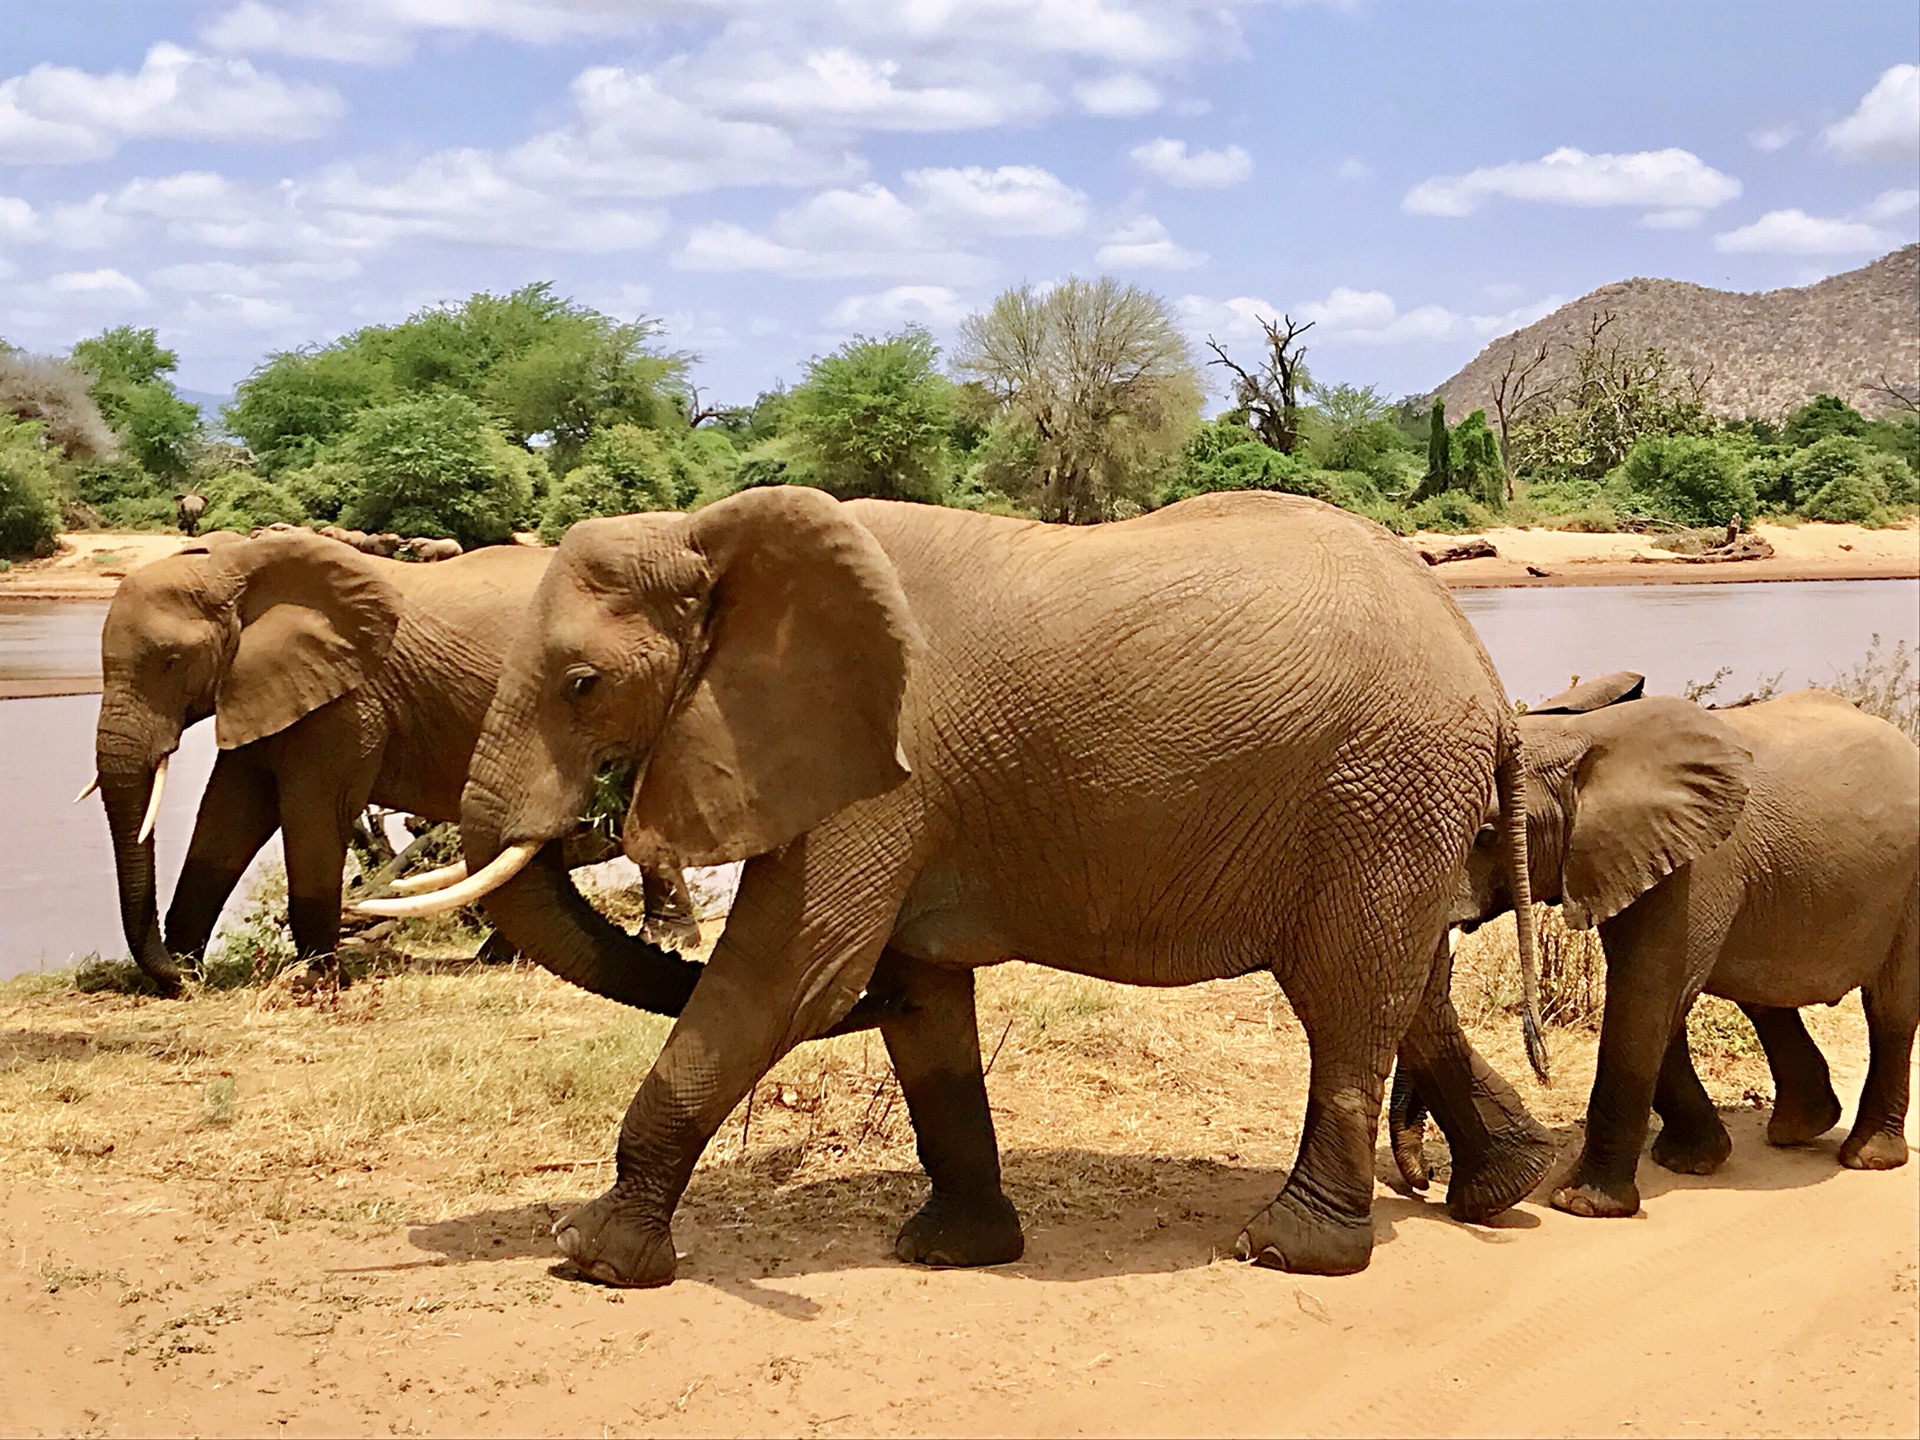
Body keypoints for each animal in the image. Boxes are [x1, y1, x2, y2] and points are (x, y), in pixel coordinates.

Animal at [90, 529, 706, 1006]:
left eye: (171, 662)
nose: (175, 975)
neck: (238, 565)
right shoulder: (262, 684)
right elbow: (228, 813)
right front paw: (186, 977)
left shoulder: (351, 699)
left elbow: (314, 811)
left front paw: (319, 984)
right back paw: (505, 957)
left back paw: (665, 942)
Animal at [362, 491, 1559, 1290]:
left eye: (582, 683)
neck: (715, 536)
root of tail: (1486, 675)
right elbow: (922, 997)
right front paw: (952, 1251)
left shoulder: (878, 765)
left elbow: (791, 975)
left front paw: (591, 1258)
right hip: (1398, 809)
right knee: (1414, 991)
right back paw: (1502, 1191)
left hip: (1378, 789)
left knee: (1347, 999)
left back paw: (1289, 1250)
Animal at [1397, 675, 1920, 1221]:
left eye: (1486, 835)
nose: (1425, 1181)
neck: (1581, 737)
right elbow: (1656, 1001)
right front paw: (1689, 1162)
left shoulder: (1698, 865)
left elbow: (1646, 996)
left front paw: (1580, 1204)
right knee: (1764, 1001)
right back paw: (1799, 1130)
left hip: (1911, 886)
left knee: (1890, 1009)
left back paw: (1868, 1157)